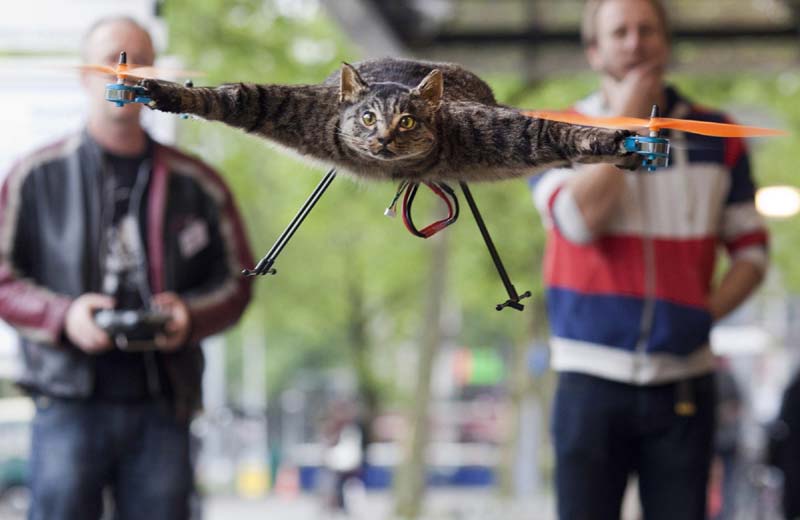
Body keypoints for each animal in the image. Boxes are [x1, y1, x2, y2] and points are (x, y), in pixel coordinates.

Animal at [138, 57, 636, 182]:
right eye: (366, 117)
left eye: (408, 122)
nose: (381, 139)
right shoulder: (302, 109)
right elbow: (238, 96)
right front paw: (168, 92)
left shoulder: (496, 131)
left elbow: (550, 130)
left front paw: (617, 143)